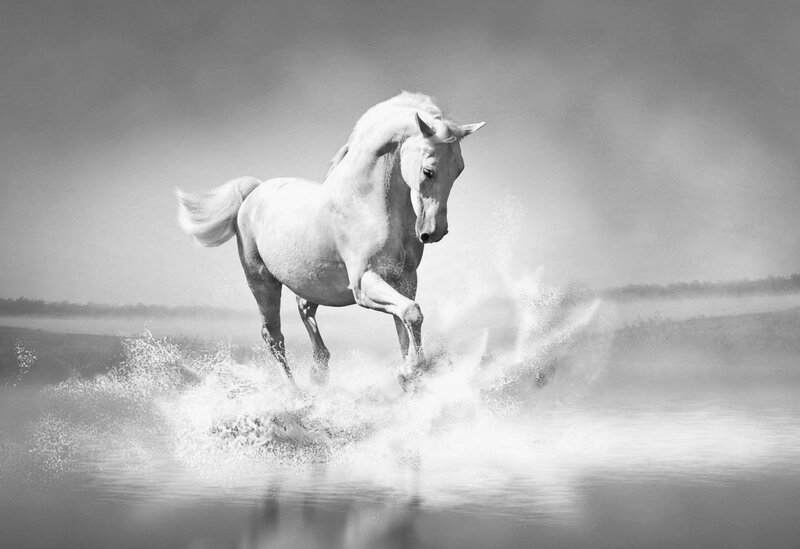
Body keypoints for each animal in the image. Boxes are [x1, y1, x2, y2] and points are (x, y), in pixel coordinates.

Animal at [176, 92, 484, 390]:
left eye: (459, 169)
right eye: (428, 171)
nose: (434, 231)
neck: (366, 203)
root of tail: (254, 192)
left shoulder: (405, 280)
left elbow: (405, 324)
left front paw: (411, 376)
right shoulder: (364, 283)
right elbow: (411, 313)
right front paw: (409, 372)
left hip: (314, 283)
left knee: (304, 309)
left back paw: (319, 371)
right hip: (262, 282)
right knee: (274, 338)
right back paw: (297, 395)